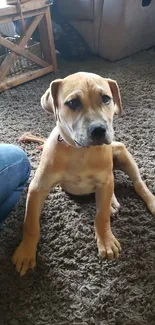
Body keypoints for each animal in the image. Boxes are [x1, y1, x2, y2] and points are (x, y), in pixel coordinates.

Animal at [12, 72, 155, 274]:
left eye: (106, 99)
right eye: (73, 103)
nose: (99, 130)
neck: (80, 151)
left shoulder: (104, 181)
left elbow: (101, 216)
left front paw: (106, 241)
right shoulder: (38, 187)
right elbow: (30, 222)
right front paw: (26, 252)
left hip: (121, 151)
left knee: (138, 183)